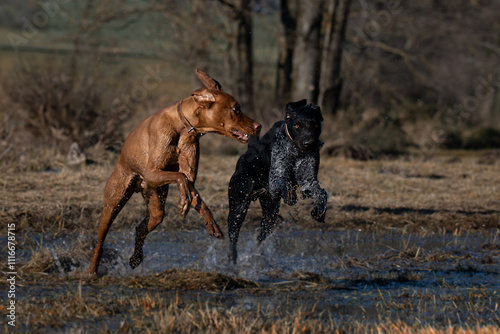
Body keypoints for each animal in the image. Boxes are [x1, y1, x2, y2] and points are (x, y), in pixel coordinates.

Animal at [86, 69, 262, 276]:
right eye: (236, 109)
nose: (258, 126)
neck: (184, 127)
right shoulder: (152, 172)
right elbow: (180, 178)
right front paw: (183, 202)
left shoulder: (188, 176)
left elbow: (193, 190)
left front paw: (210, 222)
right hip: (114, 202)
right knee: (100, 240)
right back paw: (92, 270)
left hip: (155, 201)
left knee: (142, 227)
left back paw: (136, 259)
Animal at [228, 99, 328, 264]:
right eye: (297, 125)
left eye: (314, 124)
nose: (308, 143)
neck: (297, 153)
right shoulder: (277, 177)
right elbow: (283, 183)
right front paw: (290, 196)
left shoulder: (309, 181)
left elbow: (322, 194)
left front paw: (319, 212)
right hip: (238, 208)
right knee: (233, 238)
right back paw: (233, 260)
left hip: (270, 214)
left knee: (260, 237)